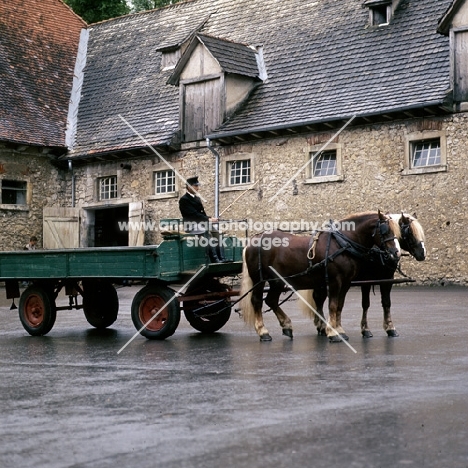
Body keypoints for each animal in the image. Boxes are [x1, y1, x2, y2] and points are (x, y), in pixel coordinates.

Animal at [239, 211, 400, 340]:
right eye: (385, 231)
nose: (395, 254)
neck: (342, 243)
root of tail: (254, 240)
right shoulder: (335, 281)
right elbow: (333, 305)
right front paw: (333, 332)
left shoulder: (346, 282)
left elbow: (339, 305)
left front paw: (339, 329)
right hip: (260, 280)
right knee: (257, 301)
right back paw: (263, 331)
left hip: (277, 281)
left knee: (271, 301)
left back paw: (287, 325)